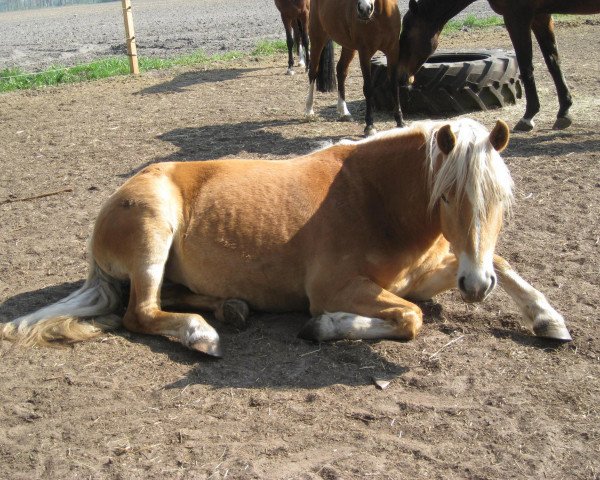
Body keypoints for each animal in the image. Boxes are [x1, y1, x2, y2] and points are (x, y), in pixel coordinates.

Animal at [1, 117, 572, 354]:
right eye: (448, 196)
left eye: (501, 199)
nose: (475, 288)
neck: (374, 198)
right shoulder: (339, 287)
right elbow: (410, 318)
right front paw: (324, 327)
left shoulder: (428, 273)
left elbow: (504, 266)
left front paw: (549, 319)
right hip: (152, 232)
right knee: (139, 312)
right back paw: (202, 335)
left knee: (168, 296)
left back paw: (230, 309)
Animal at [304, 0, 404, 136]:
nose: (364, 9)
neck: (379, 16)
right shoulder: (364, 53)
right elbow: (368, 88)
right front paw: (369, 126)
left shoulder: (393, 51)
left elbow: (394, 85)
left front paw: (400, 121)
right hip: (317, 37)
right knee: (313, 72)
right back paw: (309, 111)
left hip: (348, 47)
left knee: (341, 70)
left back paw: (344, 111)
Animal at [398, 0, 600, 131]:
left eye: (407, 34)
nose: (401, 76)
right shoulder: (541, 15)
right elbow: (553, 62)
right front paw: (564, 111)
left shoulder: (517, 16)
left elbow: (526, 66)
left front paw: (528, 116)